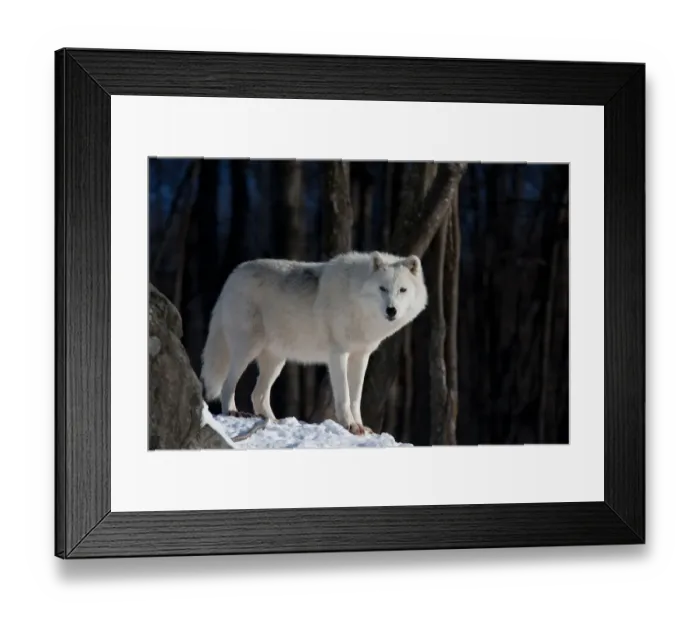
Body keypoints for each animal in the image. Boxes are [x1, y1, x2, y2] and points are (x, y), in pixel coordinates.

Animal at [200, 250, 428, 435]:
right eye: (383, 288)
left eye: (402, 290)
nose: (391, 310)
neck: (356, 299)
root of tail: (232, 276)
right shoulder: (338, 354)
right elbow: (344, 395)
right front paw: (350, 426)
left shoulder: (361, 356)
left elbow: (356, 397)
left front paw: (361, 426)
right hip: (247, 351)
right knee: (228, 385)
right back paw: (232, 412)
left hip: (276, 361)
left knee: (258, 395)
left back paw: (275, 422)